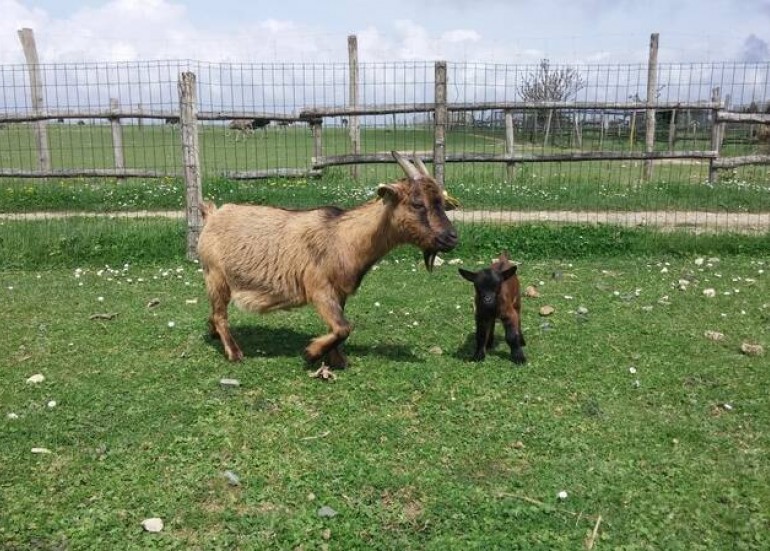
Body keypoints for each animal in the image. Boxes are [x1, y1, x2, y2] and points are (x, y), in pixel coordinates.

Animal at [198, 151, 460, 366]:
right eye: (417, 204)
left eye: (442, 202)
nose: (452, 237)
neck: (343, 237)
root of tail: (212, 214)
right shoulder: (319, 288)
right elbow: (344, 327)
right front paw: (311, 353)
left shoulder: (339, 292)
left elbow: (338, 326)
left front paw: (336, 359)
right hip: (215, 274)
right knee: (221, 315)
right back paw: (234, 352)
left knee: (215, 313)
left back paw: (213, 333)